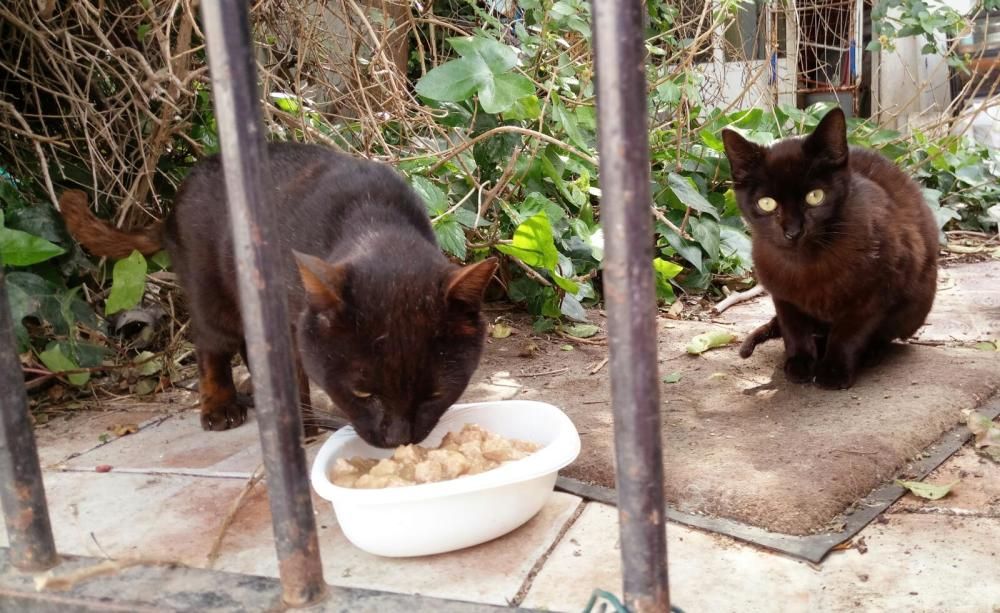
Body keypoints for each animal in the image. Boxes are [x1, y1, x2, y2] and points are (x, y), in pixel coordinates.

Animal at [60, 142, 498, 444]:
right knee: (211, 346)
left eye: (434, 394)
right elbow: (290, 375)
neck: (375, 219)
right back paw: (221, 406)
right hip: (211, 293)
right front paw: (300, 429)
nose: (397, 439)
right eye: (362, 391)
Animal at [720, 107, 936, 388]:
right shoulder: (783, 296)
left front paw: (833, 371)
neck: (806, 266)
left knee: (886, 335)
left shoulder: (874, 295)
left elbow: (848, 334)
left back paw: (871, 353)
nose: (793, 231)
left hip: (915, 306)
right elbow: (794, 329)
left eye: (815, 196)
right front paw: (799, 363)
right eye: (767, 203)